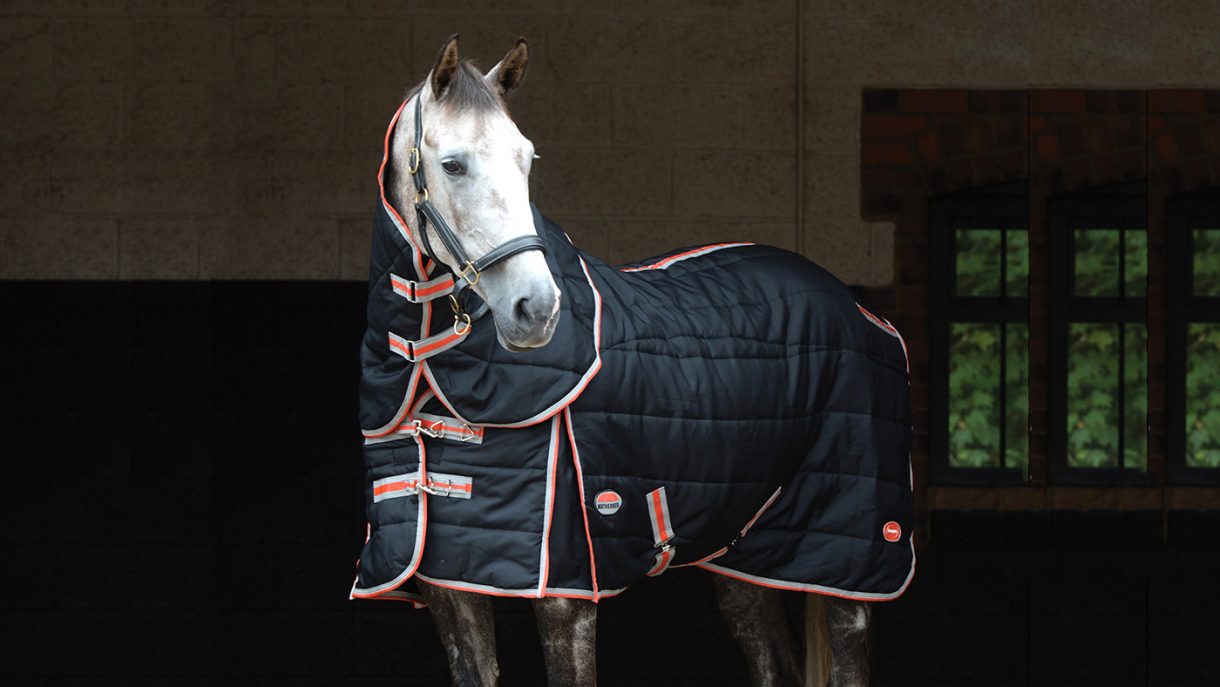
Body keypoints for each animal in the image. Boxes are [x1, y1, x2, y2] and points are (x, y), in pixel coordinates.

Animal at [350, 34, 914, 687]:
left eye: (526, 158)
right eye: (453, 164)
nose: (536, 308)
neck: (432, 377)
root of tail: (858, 308)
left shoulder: (566, 596)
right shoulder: (450, 587)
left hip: (848, 567)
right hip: (744, 555)